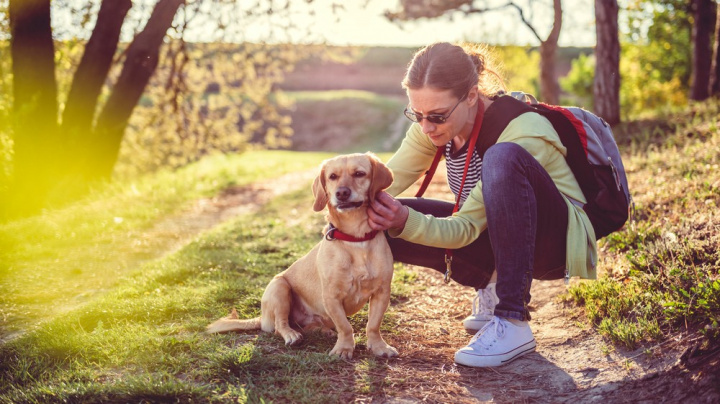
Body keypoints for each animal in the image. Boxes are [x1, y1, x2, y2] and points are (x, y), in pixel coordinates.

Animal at [207, 152, 400, 360]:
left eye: (359, 174)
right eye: (333, 177)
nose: (341, 193)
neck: (355, 239)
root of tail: (262, 318)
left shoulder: (382, 292)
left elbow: (373, 325)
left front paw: (379, 346)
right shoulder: (331, 297)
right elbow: (345, 327)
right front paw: (344, 348)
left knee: (309, 326)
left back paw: (322, 330)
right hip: (280, 287)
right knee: (280, 325)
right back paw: (292, 335)